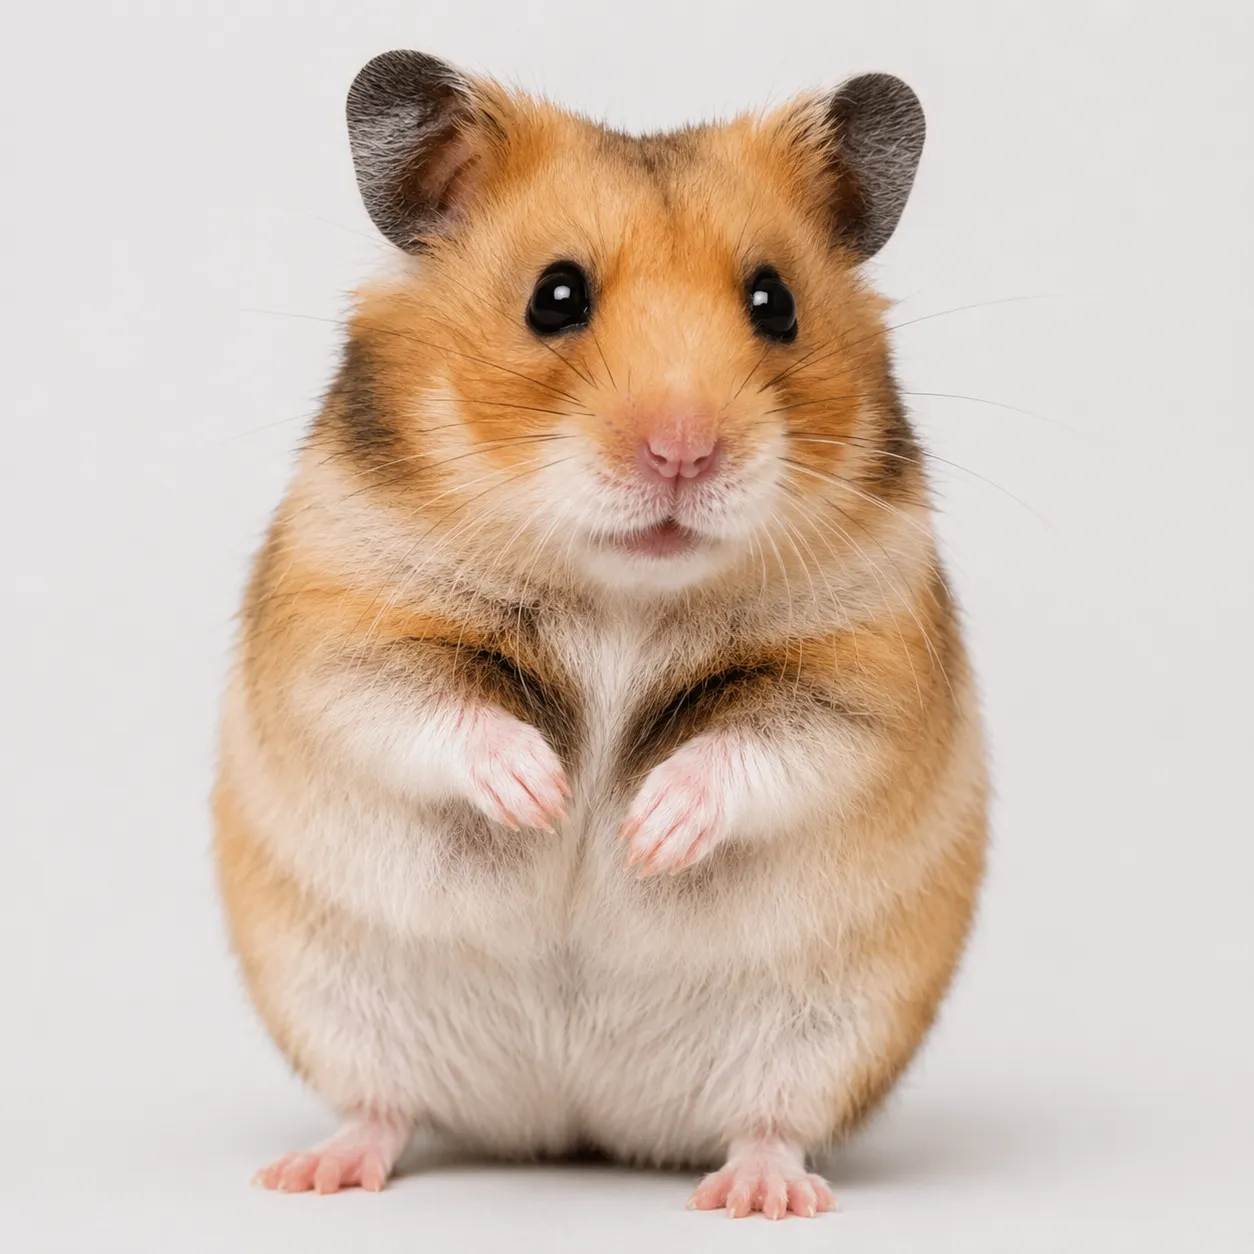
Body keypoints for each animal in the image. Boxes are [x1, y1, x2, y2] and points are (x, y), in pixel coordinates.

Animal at [215, 49, 988, 1218]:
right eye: (556, 296)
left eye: (776, 303)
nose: (683, 453)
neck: (624, 593)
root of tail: (575, 1120)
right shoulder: (340, 628)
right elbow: (421, 707)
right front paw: (545, 798)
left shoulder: (865, 673)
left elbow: (769, 745)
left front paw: (641, 831)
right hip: (340, 1002)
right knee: (381, 1105)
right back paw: (315, 1175)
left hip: (821, 1032)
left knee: (769, 1121)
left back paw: (760, 1195)